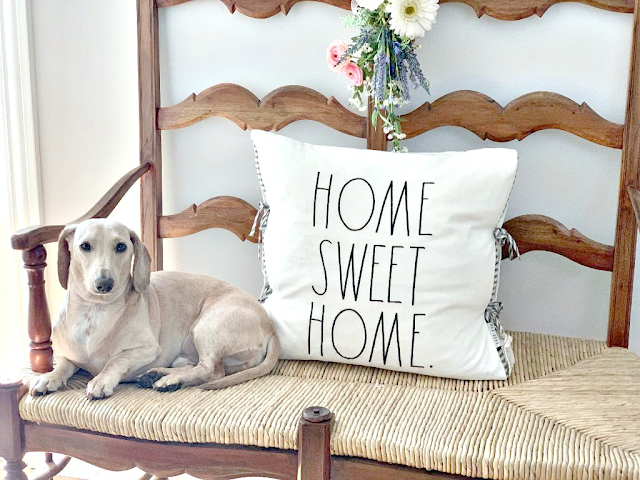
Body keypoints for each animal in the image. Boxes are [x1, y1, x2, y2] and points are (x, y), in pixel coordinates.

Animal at [29, 218, 279, 399]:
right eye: (84, 246)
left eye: (121, 246)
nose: (104, 284)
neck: (95, 312)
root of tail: (270, 327)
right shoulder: (66, 355)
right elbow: (63, 366)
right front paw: (48, 378)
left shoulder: (147, 349)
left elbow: (115, 361)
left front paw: (101, 380)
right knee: (201, 367)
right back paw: (157, 375)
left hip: (207, 327)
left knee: (211, 370)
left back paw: (169, 380)